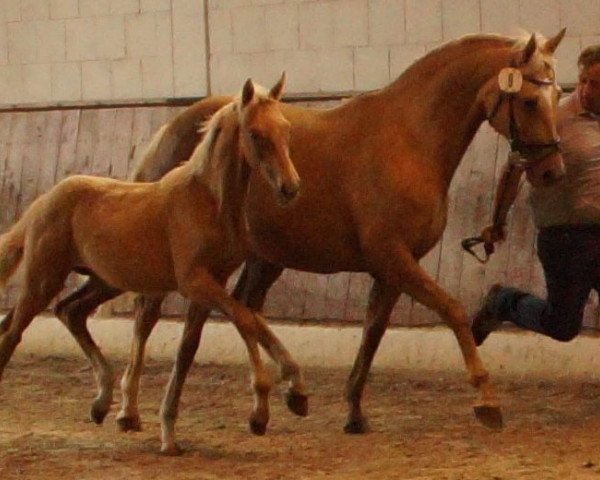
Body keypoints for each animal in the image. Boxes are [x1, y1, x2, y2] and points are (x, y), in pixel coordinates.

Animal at [0, 74, 304, 454]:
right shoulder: (194, 281)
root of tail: (42, 202)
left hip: (103, 280)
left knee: (70, 311)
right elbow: (247, 319)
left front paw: (273, 406)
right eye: (255, 133)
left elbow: (221, 332)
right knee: (13, 334)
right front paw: (284, 395)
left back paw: (104, 404)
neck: (207, 201)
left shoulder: (213, 281)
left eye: (287, 129)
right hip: (43, 280)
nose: (290, 187)